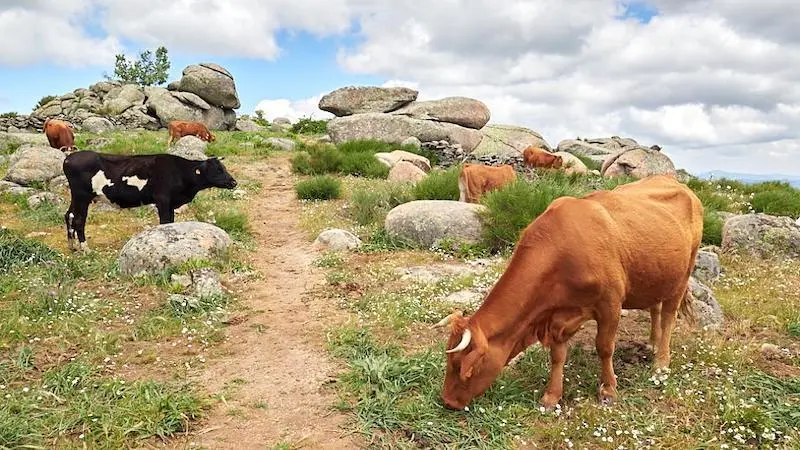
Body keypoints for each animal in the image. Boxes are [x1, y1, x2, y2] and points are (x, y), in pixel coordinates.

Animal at [62, 150, 238, 250]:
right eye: (217, 170)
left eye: (223, 168)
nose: (234, 182)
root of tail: (69, 158)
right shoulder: (163, 199)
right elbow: (165, 222)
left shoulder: (171, 203)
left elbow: (170, 222)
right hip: (82, 196)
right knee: (78, 219)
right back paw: (85, 249)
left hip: (77, 197)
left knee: (68, 215)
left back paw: (72, 246)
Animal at [434, 175, 704, 412]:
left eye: (459, 365)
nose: (448, 401)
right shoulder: (557, 315)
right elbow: (557, 356)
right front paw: (551, 397)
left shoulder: (610, 304)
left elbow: (604, 347)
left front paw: (608, 390)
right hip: (657, 276)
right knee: (656, 307)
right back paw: (652, 343)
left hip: (684, 272)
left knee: (669, 316)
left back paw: (661, 363)